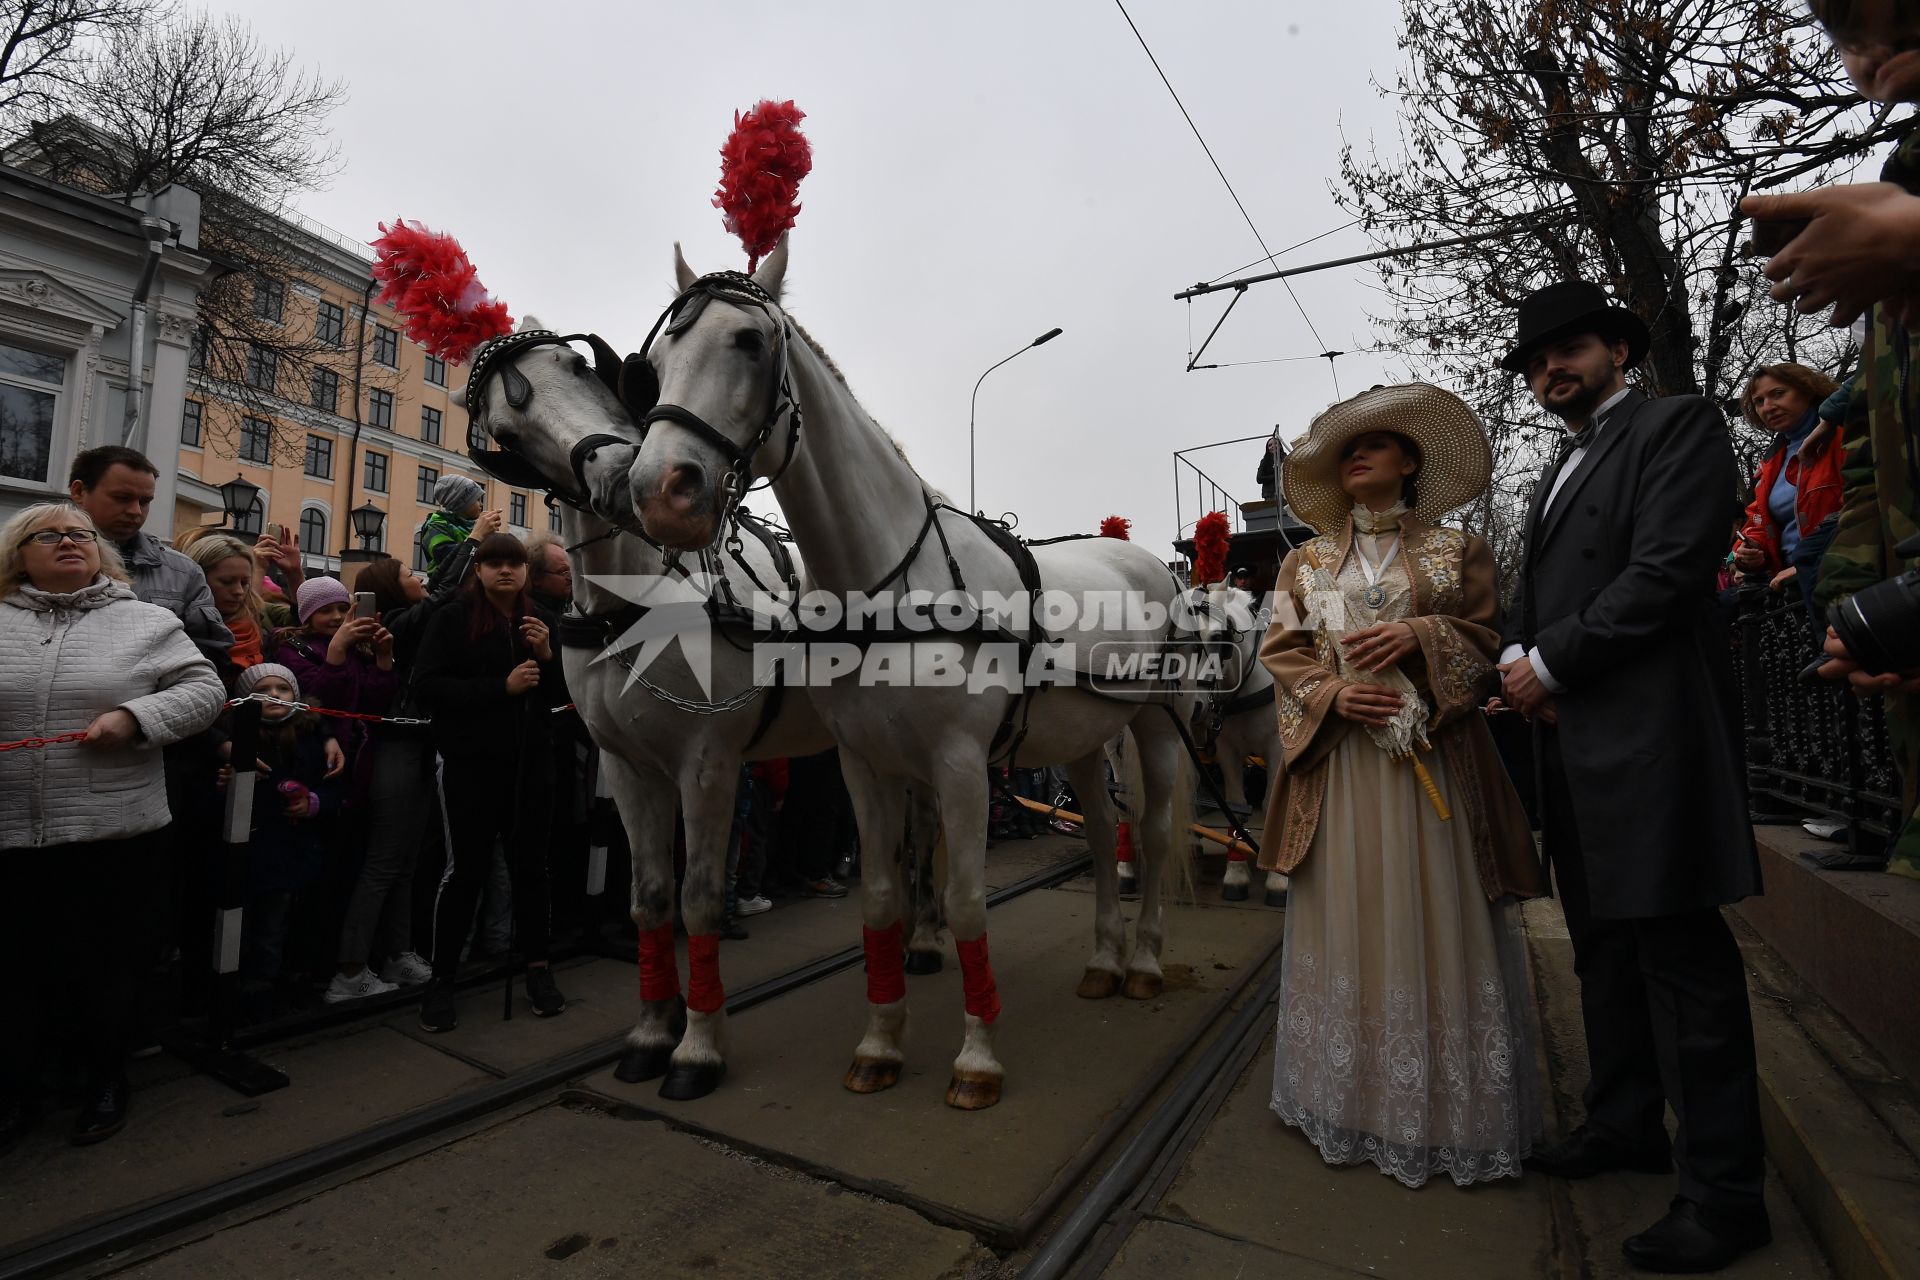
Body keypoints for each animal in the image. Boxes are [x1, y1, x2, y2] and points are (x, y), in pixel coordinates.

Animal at [466, 314, 944, 1097]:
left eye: (577, 366)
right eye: (507, 428)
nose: (616, 476)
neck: (634, 604)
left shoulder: (708, 765)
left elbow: (698, 900)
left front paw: (697, 1049)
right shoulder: (627, 769)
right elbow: (650, 898)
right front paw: (651, 1033)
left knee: (928, 831)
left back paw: (929, 939)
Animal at [629, 239, 1198, 1113]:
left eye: (748, 342)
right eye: (656, 362)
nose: (660, 490)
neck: (888, 584)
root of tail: (1148, 563)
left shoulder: (960, 767)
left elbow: (963, 904)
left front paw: (976, 1058)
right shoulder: (866, 764)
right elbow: (882, 898)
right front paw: (881, 1044)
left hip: (1154, 724)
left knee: (1158, 832)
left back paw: (1140, 962)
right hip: (1080, 739)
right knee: (1107, 836)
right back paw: (1103, 960)